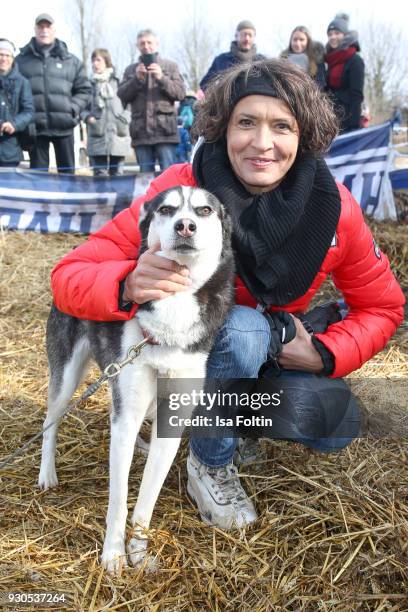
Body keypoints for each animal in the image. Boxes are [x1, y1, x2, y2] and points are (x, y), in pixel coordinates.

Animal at [40, 188, 236, 572]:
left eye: (204, 210)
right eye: (167, 209)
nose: (186, 225)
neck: (175, 302)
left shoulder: (171, 419)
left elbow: (147, 498)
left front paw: (139, 551)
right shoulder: (127, 413)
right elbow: (118, 499)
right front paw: (114, 555)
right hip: (68, 376)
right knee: (50, 421)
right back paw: (47, 474)